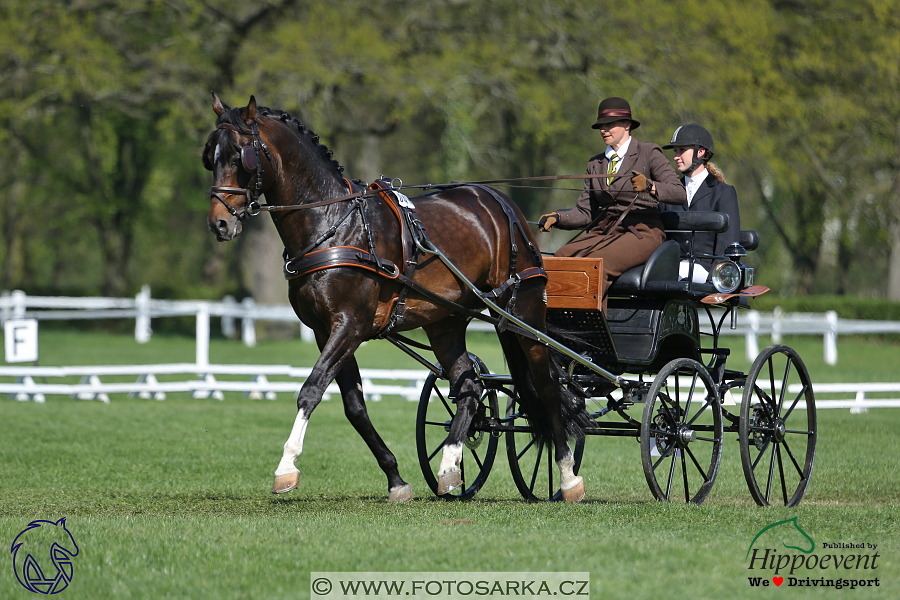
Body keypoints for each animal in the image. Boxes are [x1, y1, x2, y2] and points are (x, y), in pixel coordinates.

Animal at [202, 95, 592, 502]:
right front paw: (396, 478)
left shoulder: (350, 325)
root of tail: (499, 201)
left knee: (547, 386)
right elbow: (355, 407)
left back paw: (568, 476)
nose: (219, 223)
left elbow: (310, 390)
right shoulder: (326, 331)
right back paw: (449, 468)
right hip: (446, 321)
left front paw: (286, 467)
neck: (334, 222)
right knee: (470, 386)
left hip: (525, 314)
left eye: (241, 157)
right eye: (210, 156)